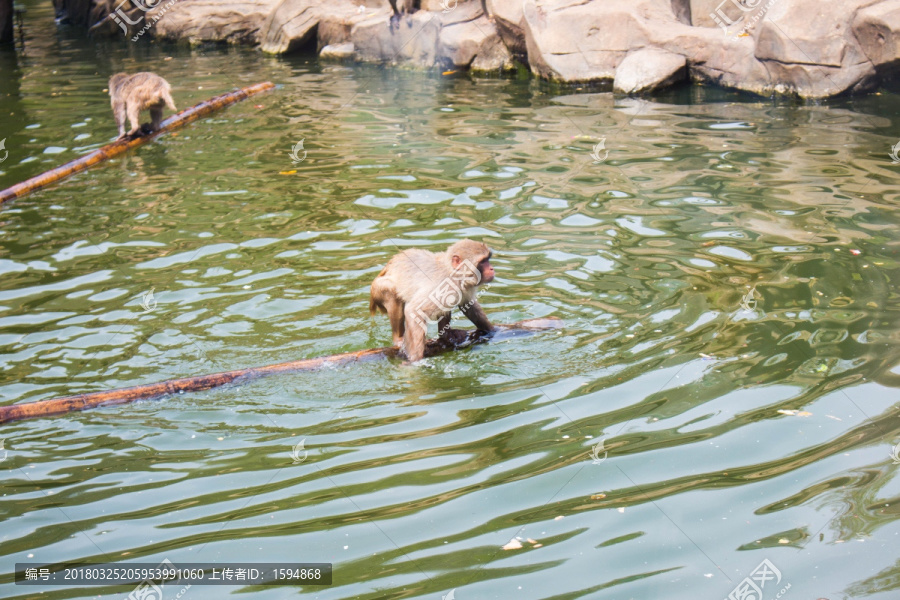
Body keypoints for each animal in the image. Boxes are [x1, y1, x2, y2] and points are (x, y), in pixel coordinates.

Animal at [372, 239, 500, 360]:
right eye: (483, 261)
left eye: (487, 259)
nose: (492, 268)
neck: (453, 274)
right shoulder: (442, 287)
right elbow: (414, 311)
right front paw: (414, 358)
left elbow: (469, 305)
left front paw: (492, 330)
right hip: (379, 288)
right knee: (392, 291)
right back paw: (399, 339)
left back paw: (446, 335)